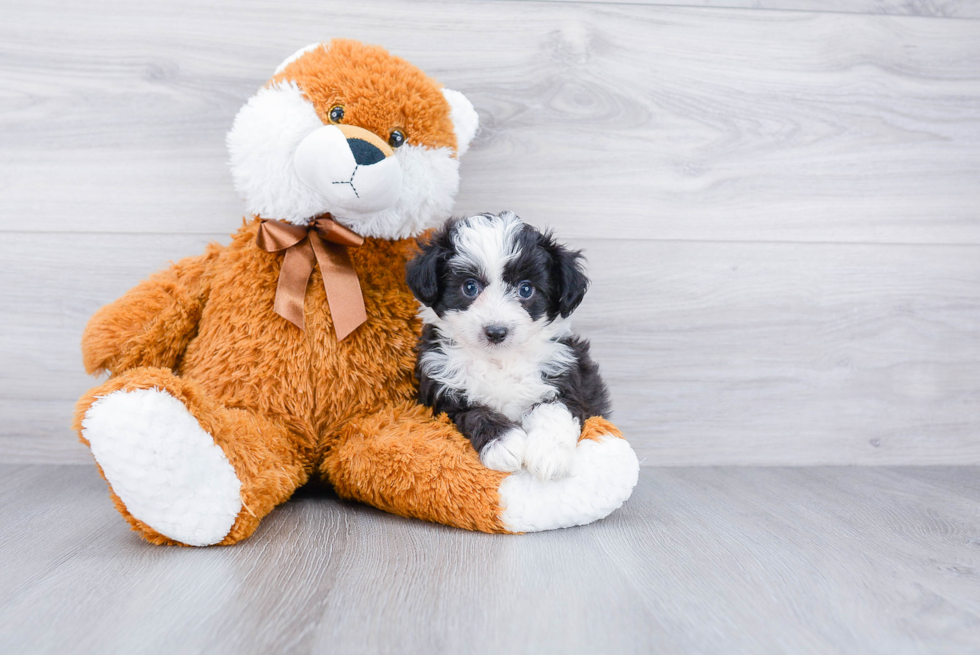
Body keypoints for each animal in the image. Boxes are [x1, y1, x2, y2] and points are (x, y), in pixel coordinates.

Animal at [404, 211, 604, 482]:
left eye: (526, 289)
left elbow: (556, 409)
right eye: (470, 287)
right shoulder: (444, 393)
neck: (499, 360)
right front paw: (505, 444)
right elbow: (476, 413)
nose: (496, 332)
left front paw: (548, 452)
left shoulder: (563, 376)